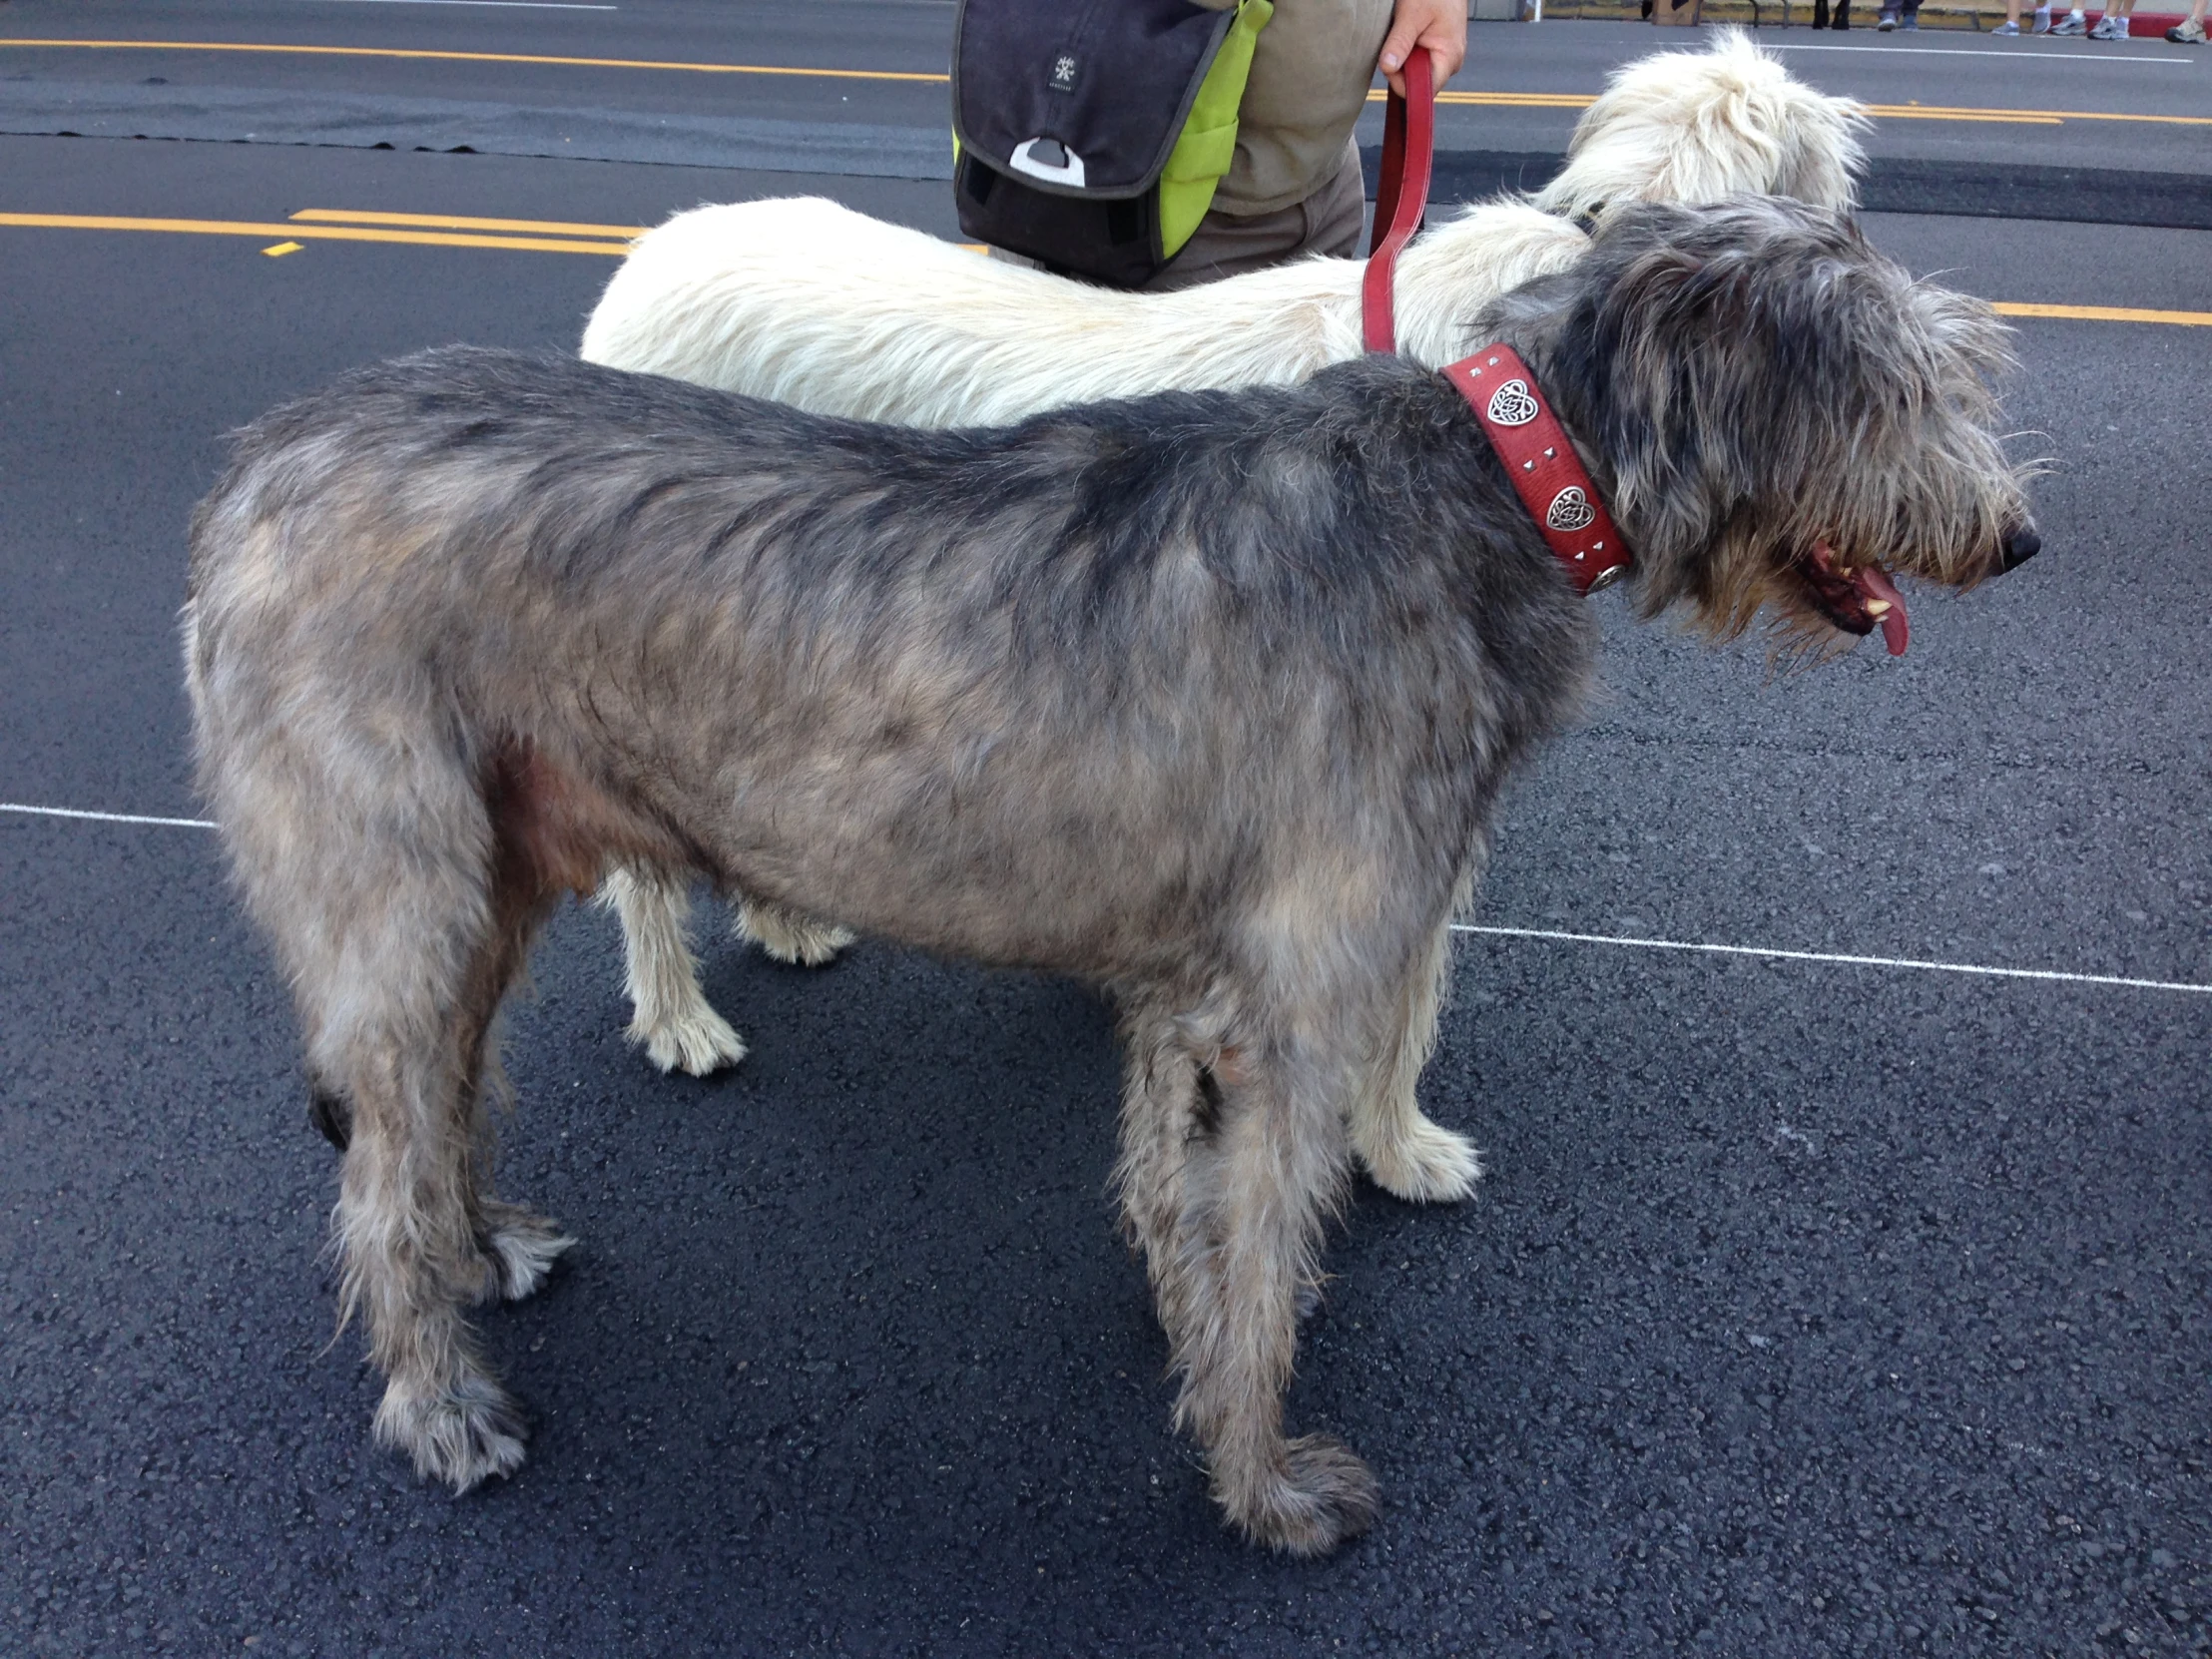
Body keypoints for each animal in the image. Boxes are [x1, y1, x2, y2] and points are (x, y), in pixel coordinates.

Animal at [190, 198, 2034, 1557]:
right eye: (1898, 384)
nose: (2013, 535)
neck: (1496, 479)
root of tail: (256, 466)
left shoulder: (1192, 980)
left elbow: (1176, 1185)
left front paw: (1186, 1328)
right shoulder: (1297, 995)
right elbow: (1270, 1239)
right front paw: (1264, 1480)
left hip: (490, 864)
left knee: (444, 1091)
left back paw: (480, 1246)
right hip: (394, 873)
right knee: (381, 1157)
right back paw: (440, 1402)